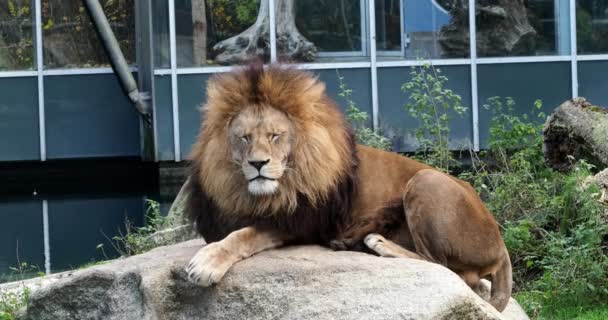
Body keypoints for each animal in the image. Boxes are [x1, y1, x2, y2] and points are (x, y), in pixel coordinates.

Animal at [185, 63, 512, 312]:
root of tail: (501, 242)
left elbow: (244, 235)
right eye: (244, 138)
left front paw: (206, 264)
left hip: (426, 180)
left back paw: (378, 243)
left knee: (447, 269)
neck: (255, 194)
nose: (257, 163)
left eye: (275, 136)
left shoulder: (298, 222)